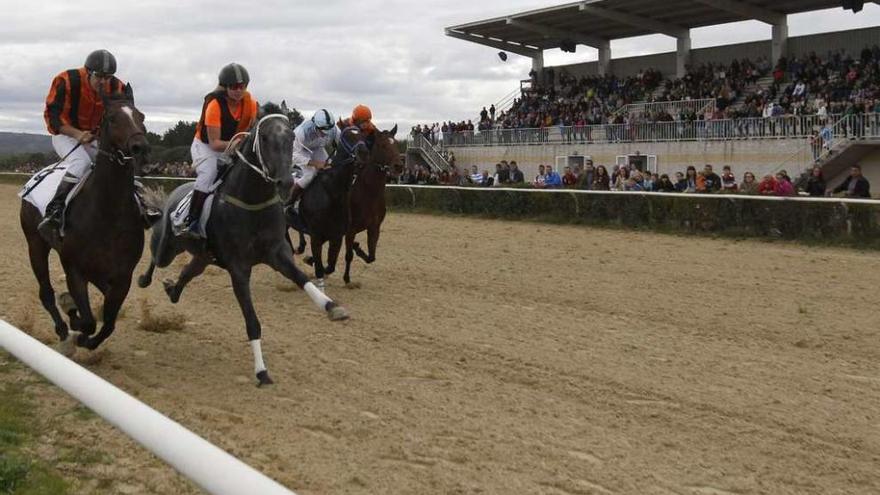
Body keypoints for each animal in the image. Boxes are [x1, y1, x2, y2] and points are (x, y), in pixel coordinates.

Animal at [19, 86, 153, 356]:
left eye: (141, 116)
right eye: (111, 118)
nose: (140, 148)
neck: (108, 212)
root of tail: (34, 177)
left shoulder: (123, 276)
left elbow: (109, 320)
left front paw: (87, 337)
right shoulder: (74, 268)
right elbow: (89, 321)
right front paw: (76, 326)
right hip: (35, 243)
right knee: (46, 292)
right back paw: (62, 328)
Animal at [138, 102, 348, 386]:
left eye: (291, 138)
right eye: (265, 138)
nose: (286, 182)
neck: (252, 202)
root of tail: (176, 191)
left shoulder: (278, 253)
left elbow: (303, 279)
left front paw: (332, 307)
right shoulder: (238, 267)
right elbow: (252, 321)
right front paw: (261, 370)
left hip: (203, 257)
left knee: (187, 272)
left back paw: (172, 290)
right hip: (168, 247)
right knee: (155, 256)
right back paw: (145, 278)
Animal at [288, 127, 372, 286]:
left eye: (363, 137)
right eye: (347, 137)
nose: (364, 155)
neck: (332, 191)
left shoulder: (336, 235)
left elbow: (330, 265)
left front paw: (310, 260)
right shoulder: (316, 235)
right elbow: (320, 266)